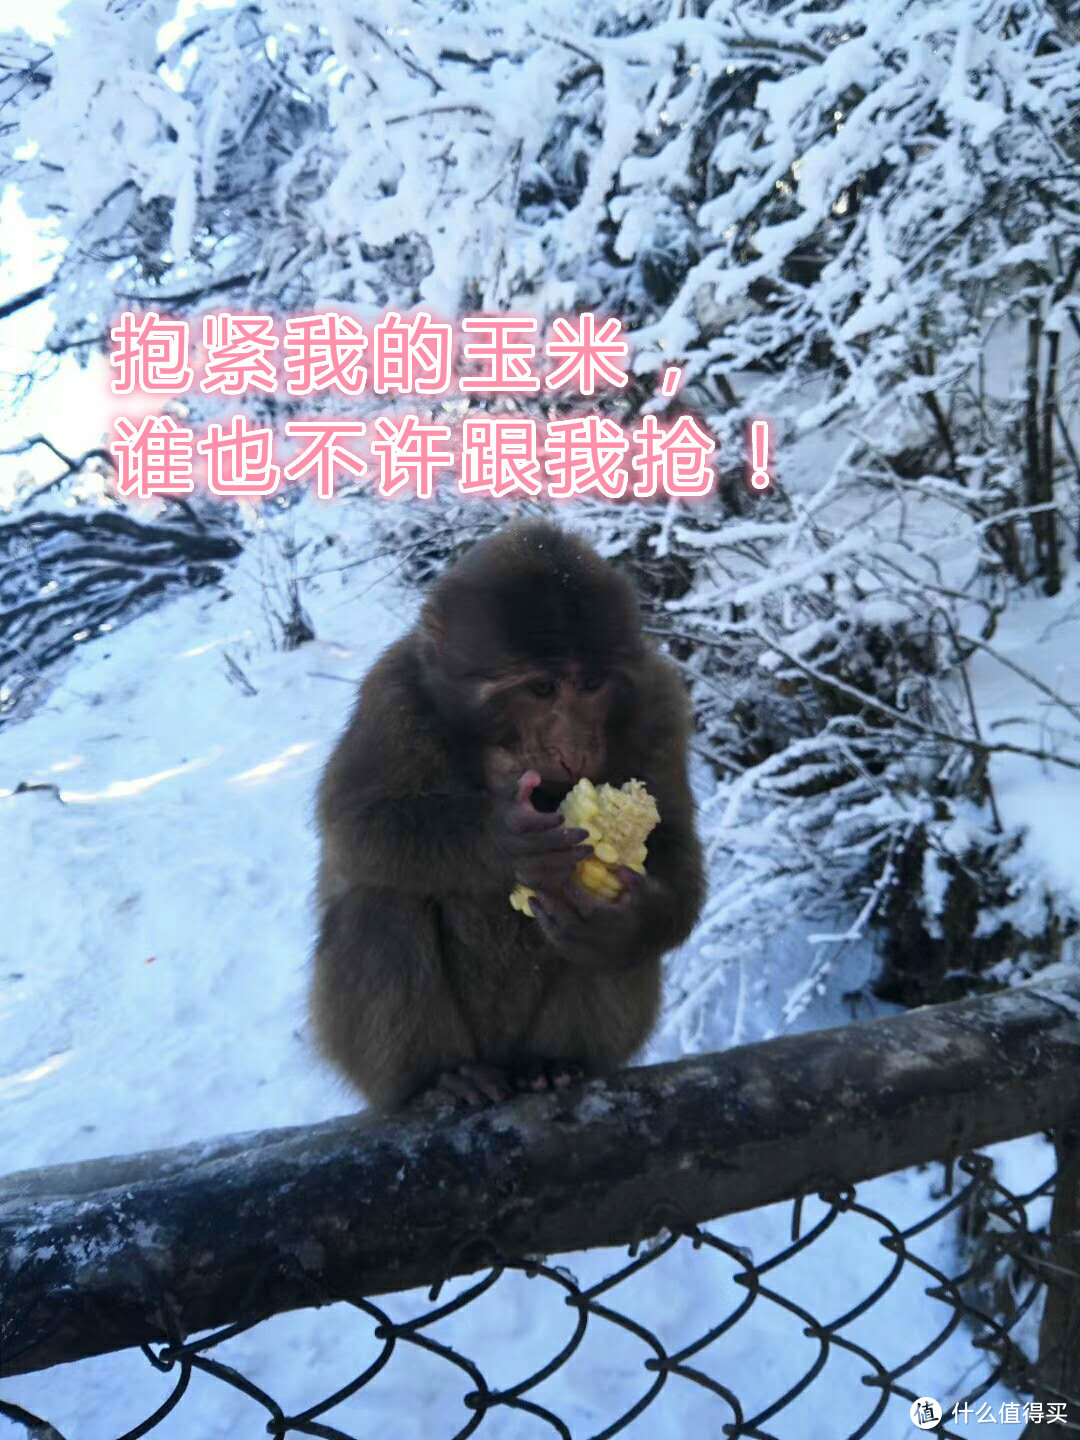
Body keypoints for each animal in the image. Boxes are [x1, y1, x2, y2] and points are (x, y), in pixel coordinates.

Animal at [308, 521, 705, 1111]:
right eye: (541, 688)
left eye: (592, 685)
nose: (574, 748)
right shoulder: (391, 696)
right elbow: (353, 823)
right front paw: (504, 841)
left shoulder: (659, 700)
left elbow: (673, 840)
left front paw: (627, 922)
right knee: (380, 901)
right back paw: (442, 1076)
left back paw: (556, 1062)